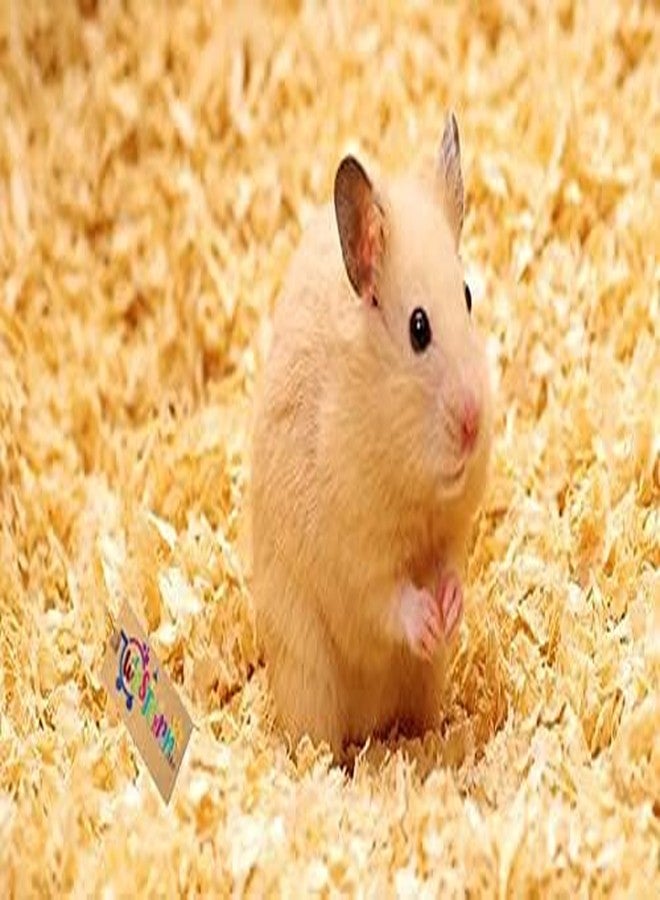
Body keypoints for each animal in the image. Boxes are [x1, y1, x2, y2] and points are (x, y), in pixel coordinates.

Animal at [250, 112, 493, 760]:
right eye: (418, 328)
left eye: (467, 297)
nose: (473, 424)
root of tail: (367, 723)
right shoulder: (352, 556)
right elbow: (388, 599)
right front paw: (429, 620)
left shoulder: (453, 530)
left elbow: (451, 566)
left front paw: (450, 608)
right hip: (307, 671)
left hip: (423, 684)